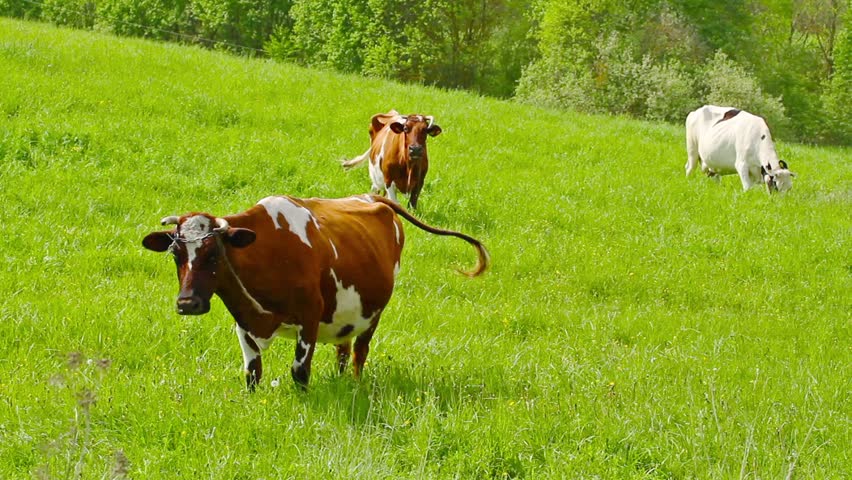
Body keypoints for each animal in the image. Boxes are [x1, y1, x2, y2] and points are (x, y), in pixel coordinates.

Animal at [142, 194, 488, 390]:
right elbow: (252, 373)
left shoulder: (309, 318)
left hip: (373, 313)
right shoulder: (243, 322)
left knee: (359, 352)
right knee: (343, 349)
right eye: (175, 254)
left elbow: (299, 372)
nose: (187, 303)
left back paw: (354, 385)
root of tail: (371, 196)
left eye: (214, 254)